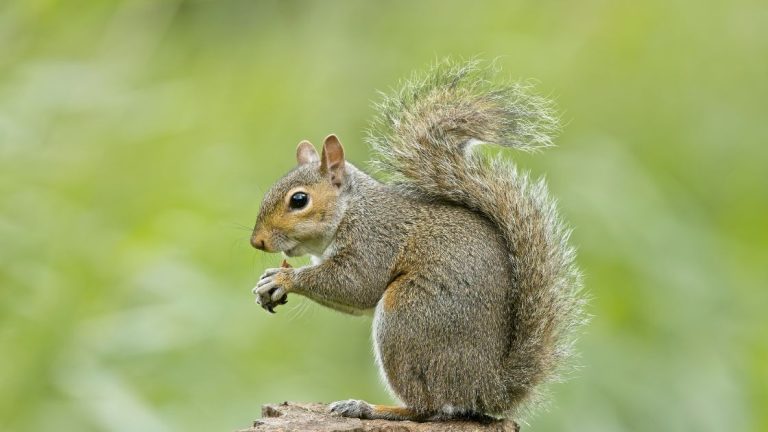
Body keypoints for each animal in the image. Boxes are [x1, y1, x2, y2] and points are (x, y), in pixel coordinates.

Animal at [250, 60, 585, 422]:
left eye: (299, 200)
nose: (257, 242)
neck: (352, 210)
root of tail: (487, 387)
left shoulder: (375, 239)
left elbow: (356, 285)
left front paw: (284, 278)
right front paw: (268, 281)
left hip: (407, 318)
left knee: (426, 406)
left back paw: (369, 407)